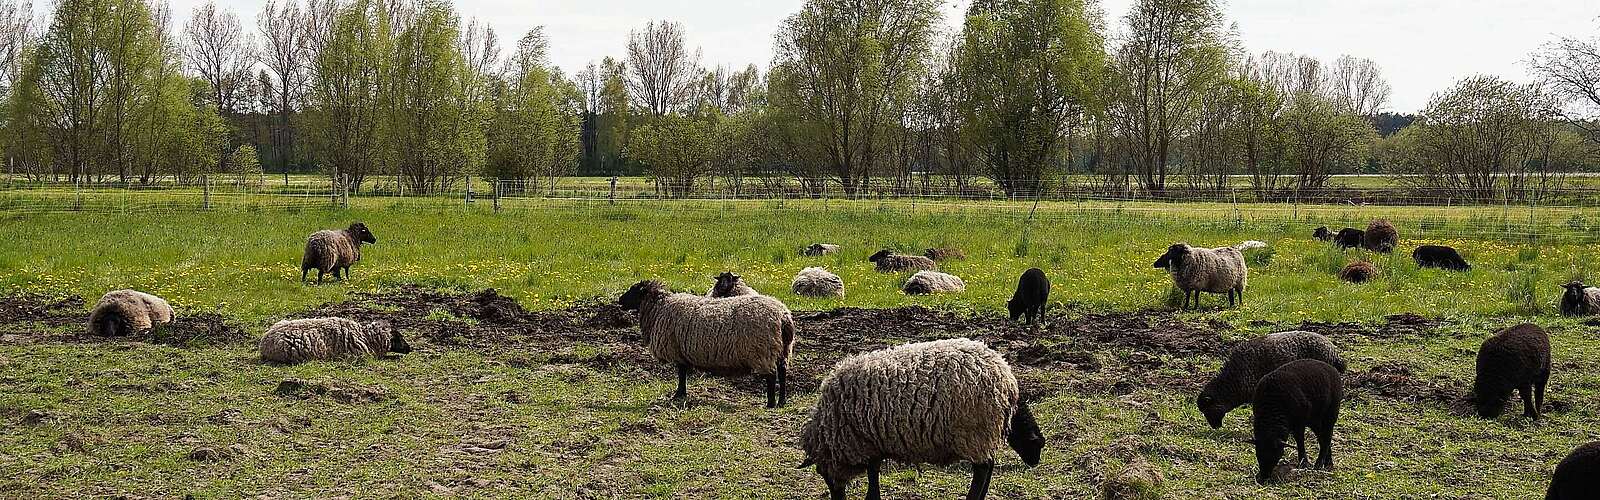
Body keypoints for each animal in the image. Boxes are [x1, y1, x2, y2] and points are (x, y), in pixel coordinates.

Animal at [618, 280, 797, 408]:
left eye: (633, 290)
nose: (619, 300)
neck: (659, 307)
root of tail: (784, 317)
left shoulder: (677, 350)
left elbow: (681, 373)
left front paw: (679, 394)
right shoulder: (682, 351)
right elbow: (683, 372)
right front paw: (681, 394)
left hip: (764, 350)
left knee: (771, 376)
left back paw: (770, 404)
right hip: (783, 350)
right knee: (782, 373)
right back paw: (782, 402)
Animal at [798, 338, 1044, 500]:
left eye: (822, 472)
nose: (1035, 463)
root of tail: (1005, 376)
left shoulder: (866, 440)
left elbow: (872, 471)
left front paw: (872, 496)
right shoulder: (874, 441)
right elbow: (874, 470)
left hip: (974, 432)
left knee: (983, 468)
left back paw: (973, 498)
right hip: (980, 433)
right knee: (987, 466)